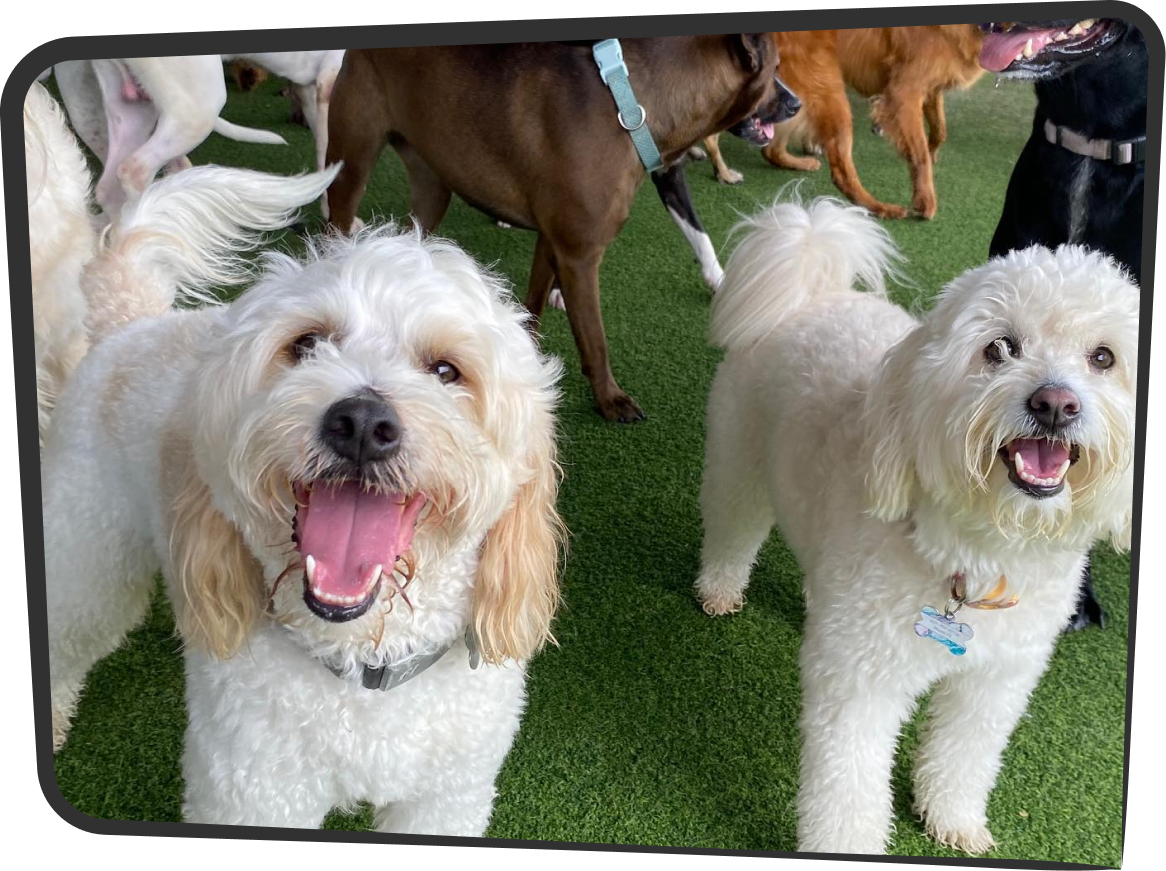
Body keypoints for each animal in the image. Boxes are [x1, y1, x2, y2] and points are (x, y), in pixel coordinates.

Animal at [44, 160, 566, 834]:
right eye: (306, 345)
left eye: (447, 371)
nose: (362, 423)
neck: (364, 667)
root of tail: (132, 319)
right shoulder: (253, 791)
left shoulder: (446, 795)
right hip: (87, 560)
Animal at [325, 37, 800, 423]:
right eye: (775, 69)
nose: (797, 104)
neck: (629, 105)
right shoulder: (579, 256)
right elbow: (594, 338)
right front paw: (610, 399)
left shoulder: (552, 243)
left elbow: (532, 307)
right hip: (351, 167)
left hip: (431, 189)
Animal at [695, 197, 1136, 854]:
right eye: (999, 348)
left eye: (1103, 357)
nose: (1056, 404)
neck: (982, 552)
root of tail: (814, 290)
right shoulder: (861, 685)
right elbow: (847, 784)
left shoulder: (995, 683)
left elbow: (964, 755)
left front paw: (954, 818)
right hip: (739, 463)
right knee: (732, 527)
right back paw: (720, 589)